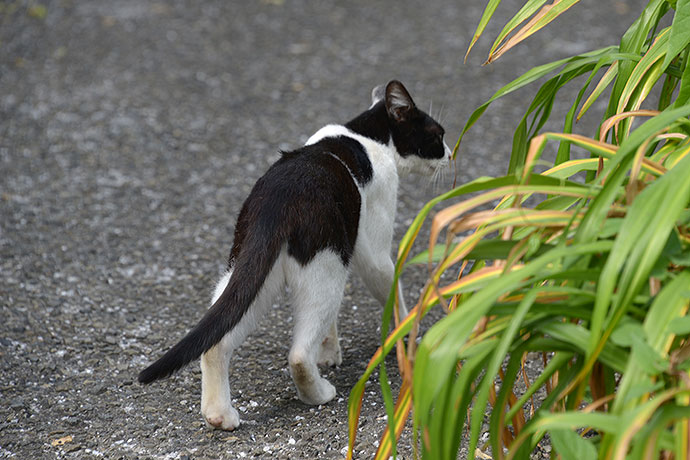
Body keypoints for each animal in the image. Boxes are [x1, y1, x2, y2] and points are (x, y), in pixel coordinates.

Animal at [140, 80, 452, 432]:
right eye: (438, 135)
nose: (451, 154)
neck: (366, 137)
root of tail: (276, 200)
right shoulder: (373, 249)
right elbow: (392, 288)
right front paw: (407, 334)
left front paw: (328, 352)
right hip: (327, 269)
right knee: (299, 354)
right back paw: (320, 393)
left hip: (252, 275)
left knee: (217, 338)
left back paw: (220, 416)